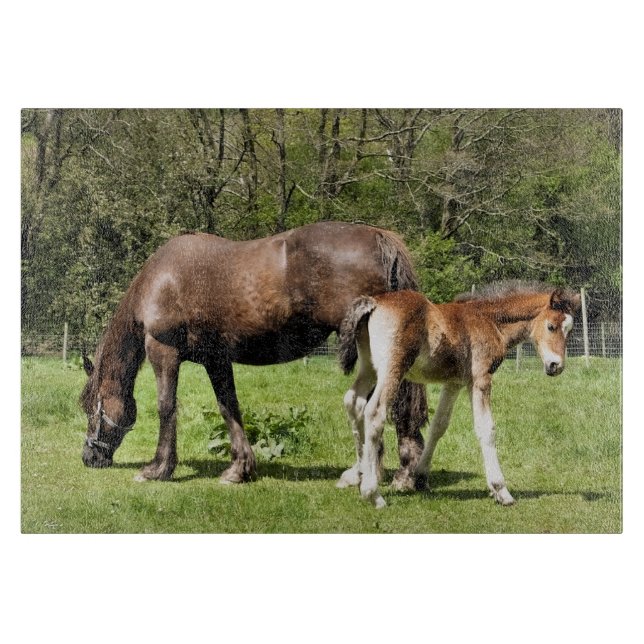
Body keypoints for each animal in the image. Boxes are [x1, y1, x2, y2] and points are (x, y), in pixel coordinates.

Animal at [80, 221, 428, 490]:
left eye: (89, 408)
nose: (88, 457)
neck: (161, 280)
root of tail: (379, 238)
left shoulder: (162, 350)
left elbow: (166, 407)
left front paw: (158, 468)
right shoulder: (216, 360)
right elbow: (228, 407)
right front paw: (239, 469)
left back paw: (396, 473)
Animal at [337, 282, 581, 508]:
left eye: (569, 330)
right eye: (551, 326)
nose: (556, 366)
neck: (489, 321)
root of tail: (374, 303)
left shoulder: (453, 383)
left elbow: (439, 426)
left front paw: (420, 478)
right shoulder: (480, 379)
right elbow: (486, 429)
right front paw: (501, 491)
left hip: (368, 367)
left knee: (354, 403)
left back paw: (357, 475)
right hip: (392, 369)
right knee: (374, 412)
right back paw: (372, 493)